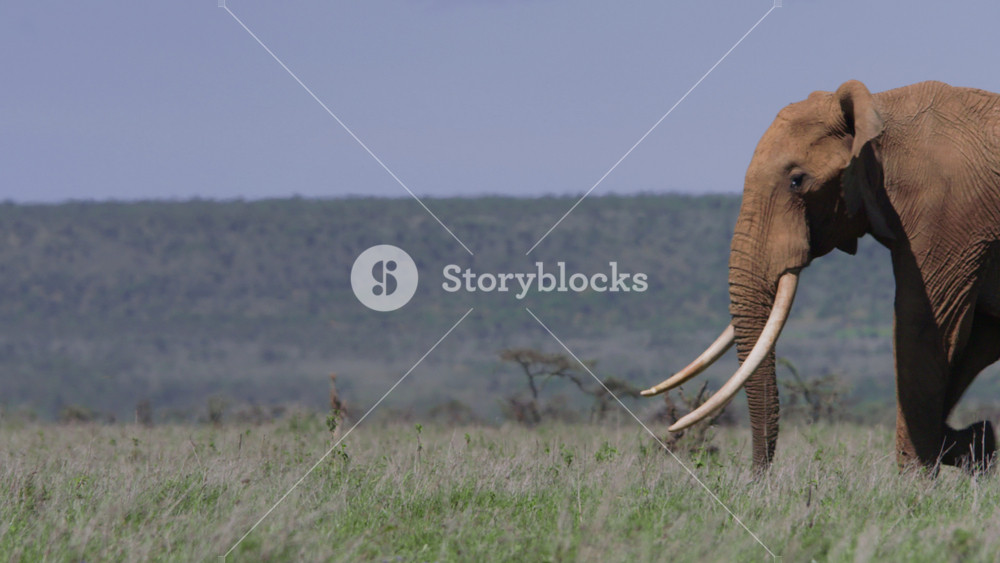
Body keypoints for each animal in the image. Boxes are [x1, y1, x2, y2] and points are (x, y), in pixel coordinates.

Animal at [642, 80, 1000, 474]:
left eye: (797, 181)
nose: (757, 479)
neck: (878, 113)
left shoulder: (947, 212)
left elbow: (922, 325)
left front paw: (917, 479)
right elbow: (977, 338)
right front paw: (975, 443)